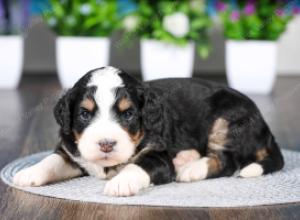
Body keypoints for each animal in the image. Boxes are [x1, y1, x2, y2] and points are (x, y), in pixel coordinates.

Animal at [12, 66, 284, 197]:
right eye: (84, 114)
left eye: (128, 114)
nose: (106, 144)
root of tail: (265, 127)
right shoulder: (71, 151)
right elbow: (51, 160)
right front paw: (28, 173)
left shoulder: (157, 154)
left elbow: (137, 166)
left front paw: (121, 183)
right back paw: (186, 158)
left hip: (227, 119)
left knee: (227, 161)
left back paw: (189, 169)